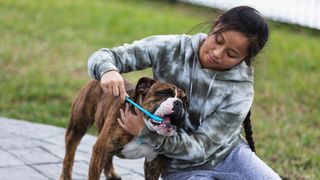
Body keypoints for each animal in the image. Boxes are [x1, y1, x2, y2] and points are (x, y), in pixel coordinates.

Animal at [59, 77, 190, 180]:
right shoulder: (100, 150)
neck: (143, 129)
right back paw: (65, 176)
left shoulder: (153, 162)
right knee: (69, 155)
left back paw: (111, 174)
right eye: (164, 93)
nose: (179, 103)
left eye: (185, 101)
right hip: (77, 127)